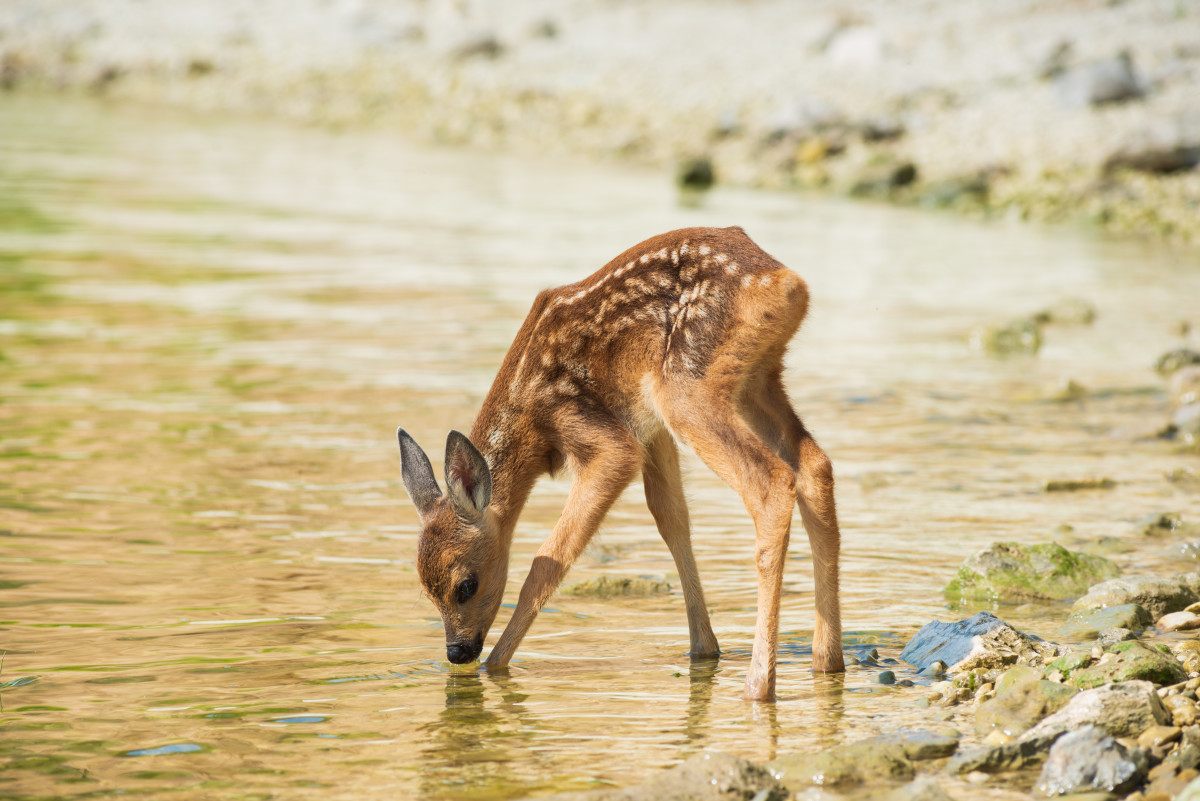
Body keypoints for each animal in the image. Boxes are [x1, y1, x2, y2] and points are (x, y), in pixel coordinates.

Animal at [396, 225, 844, 700]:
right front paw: (704, 648)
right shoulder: (650, 430)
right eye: (426, 589)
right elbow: (671, 519)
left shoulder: (598, 433)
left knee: (772, 480)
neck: (529, 406)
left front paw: (495, 666)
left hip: (687, 388)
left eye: (466, 585)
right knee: (815, 466)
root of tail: (784, 280)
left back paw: (759, 684)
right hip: (754, 382)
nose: (457, 653)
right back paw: (826, 662)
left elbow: (548, 560)